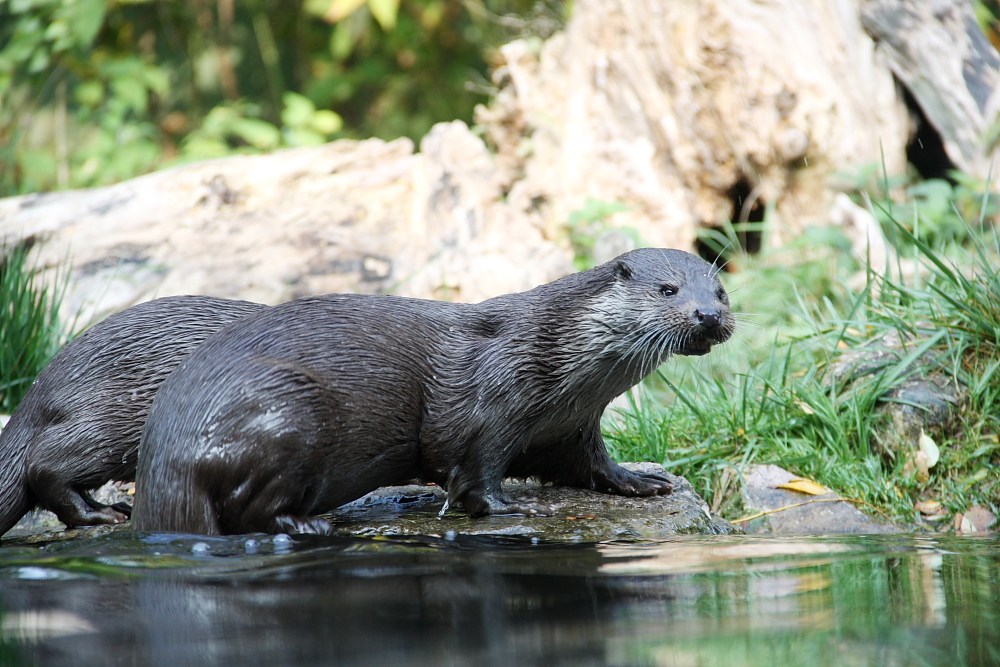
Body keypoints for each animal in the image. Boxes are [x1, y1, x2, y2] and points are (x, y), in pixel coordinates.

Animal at [133, 250, 740, 536]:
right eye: (668, 290)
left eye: (721, 291)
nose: (707, 315)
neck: (553, 355)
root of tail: (168, 453)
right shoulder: (491, 405)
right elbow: (473, 470)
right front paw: (509, 507)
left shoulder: (573, 424)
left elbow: (591, 465)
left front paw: (643, 481)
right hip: (287, 409)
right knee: (248, 509)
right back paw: (308, 523)